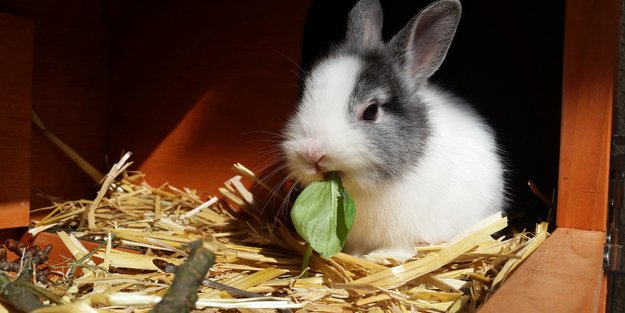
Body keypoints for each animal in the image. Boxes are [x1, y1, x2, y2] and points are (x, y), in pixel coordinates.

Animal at [280, 0, 504, 260]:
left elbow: (402, 247)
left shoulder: (407, 231)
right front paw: (356, 255)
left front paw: (378, 257)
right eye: (305, 95)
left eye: (371, 111)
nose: (312, 154)